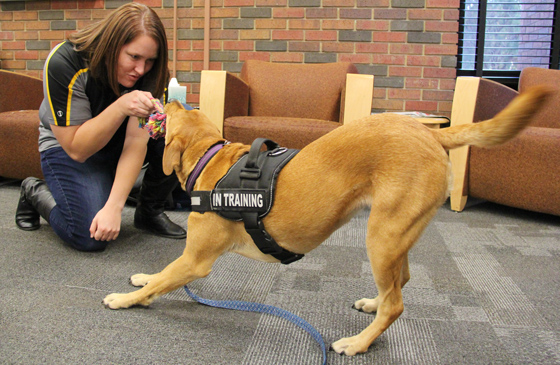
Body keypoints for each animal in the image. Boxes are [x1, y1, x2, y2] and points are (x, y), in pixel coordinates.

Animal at [104, 86, 552, 356]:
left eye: (179, 112)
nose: (168, 97)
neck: (212, 159)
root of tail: (430, 133)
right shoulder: (187, 259)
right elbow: (160, 274)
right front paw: (142, 279)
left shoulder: (195, 261)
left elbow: (164, 280)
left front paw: (126, 299)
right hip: (395, 234)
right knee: (398, 284)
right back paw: (372, 303)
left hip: (382, 236)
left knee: (397, 303)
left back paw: (357, 343)